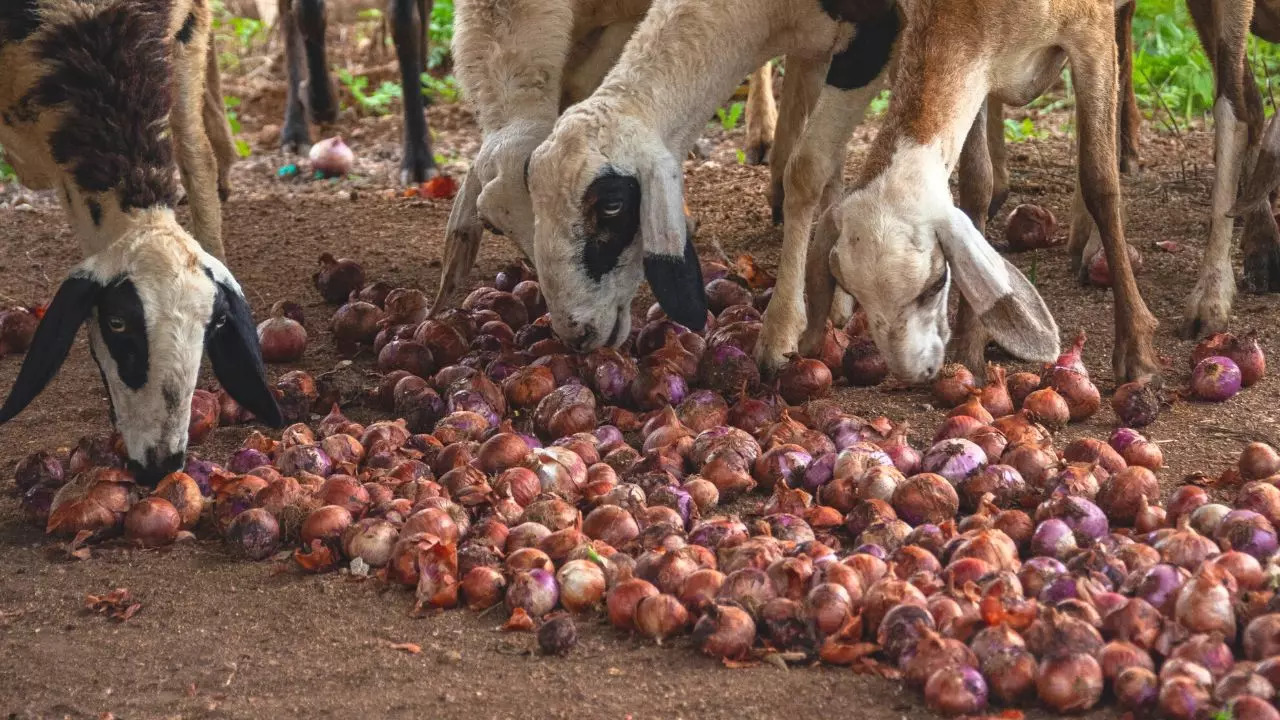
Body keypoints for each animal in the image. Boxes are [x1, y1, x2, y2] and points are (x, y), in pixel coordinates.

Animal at [279, 0, 440, 183]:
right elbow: (308, 11)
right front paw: (320, 105)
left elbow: (404, 24)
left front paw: (419, 160)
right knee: (286, 14)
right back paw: (295, 134)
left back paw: (425, 90)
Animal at [519, 0, 890, 348]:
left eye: (613, 205)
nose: (575, 335)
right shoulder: (822, 45)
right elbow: (830, 163)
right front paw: (834, 296)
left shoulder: (873, 36)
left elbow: (808, 169)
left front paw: (781, 331)